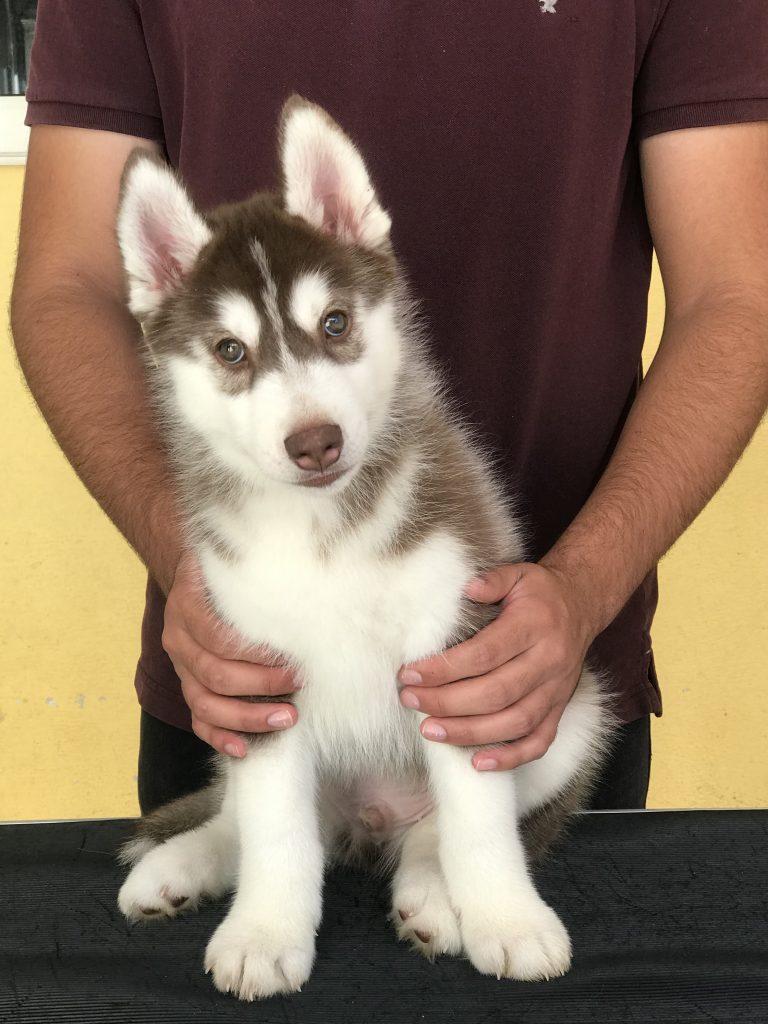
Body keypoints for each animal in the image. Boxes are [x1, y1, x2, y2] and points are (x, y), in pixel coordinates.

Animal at [115, 97, 614, 999]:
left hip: (574, 714)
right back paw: (179, 865)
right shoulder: (254, 679)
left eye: (336, 323)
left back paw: (433, 897)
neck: (323, 532)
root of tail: (368, 818)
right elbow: (276, 836)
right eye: (231, 352)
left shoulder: (459, 657)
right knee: (257, 817)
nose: (315, 441)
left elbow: (479, 824)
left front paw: (507, 920)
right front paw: (265, 933)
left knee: (438, 829)